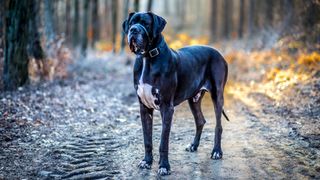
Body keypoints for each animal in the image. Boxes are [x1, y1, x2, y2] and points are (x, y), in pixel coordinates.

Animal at [121, 11, 229, 175]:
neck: (147, 58)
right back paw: (193, 145)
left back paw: (217, 151)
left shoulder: (167, 108)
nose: (133, 30)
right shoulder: (144, 108)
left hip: (217, 95)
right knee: (200, 121)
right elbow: (147, 139)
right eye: (132, 22)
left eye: (146, 23)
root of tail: (220, 54)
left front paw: (164, 166)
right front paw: (147, 161)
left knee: (218, 125)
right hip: (193, 99)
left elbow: (163, 142)